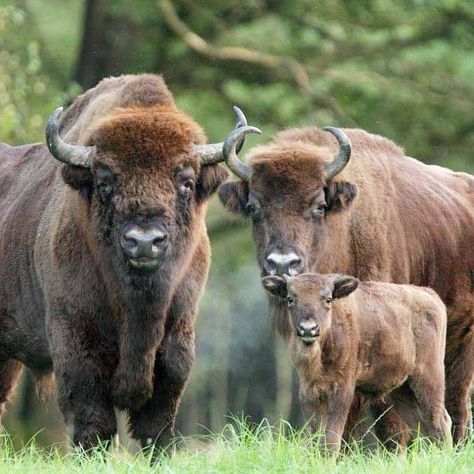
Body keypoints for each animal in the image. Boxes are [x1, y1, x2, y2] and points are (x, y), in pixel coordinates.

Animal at [0, 75, 260, 452]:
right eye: (105, 181)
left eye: (186, 181)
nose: (144, 241)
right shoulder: (75, 338)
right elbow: (93, 420)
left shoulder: (176, 340)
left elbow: (157, 422)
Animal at [262, 272, 452, 454]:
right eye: (290, 298)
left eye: (328, 299)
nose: (308, 329)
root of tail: (431, 296)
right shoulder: (309, 392)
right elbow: (314, 435)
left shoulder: (342, 390)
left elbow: (331, 438)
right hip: (402, 391)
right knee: (422, 423)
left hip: (428, 378)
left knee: (439, 420)